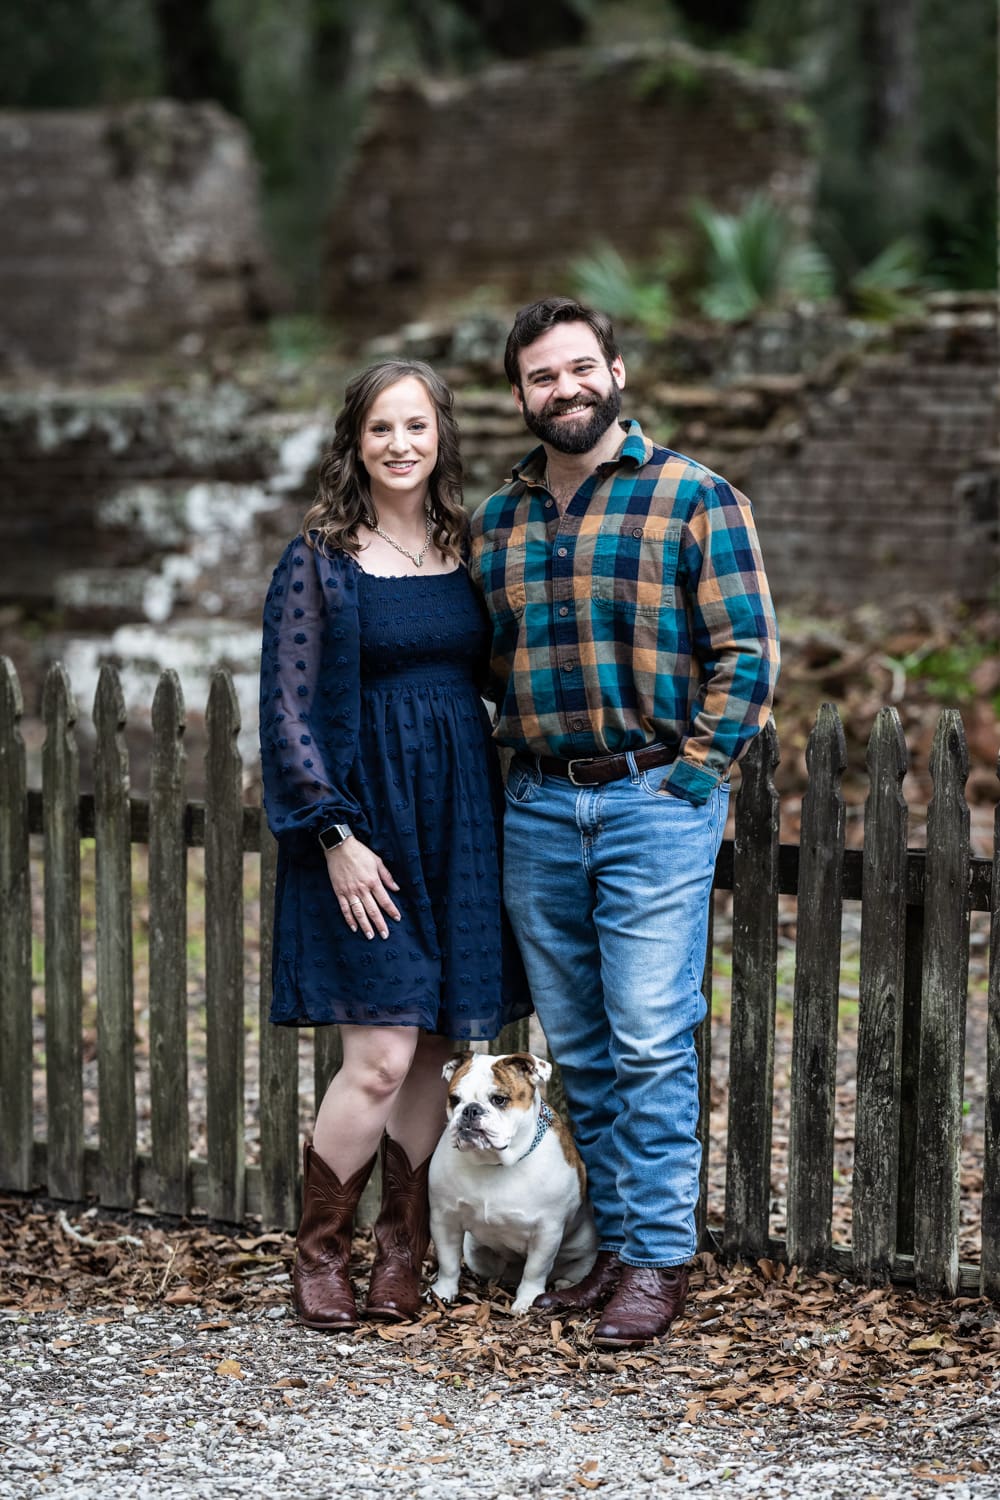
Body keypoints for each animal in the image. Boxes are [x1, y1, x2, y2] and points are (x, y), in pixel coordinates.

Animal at [428, 1056, 599, 1314]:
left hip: (585, 1257)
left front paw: (527, 1299)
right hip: (475, 1252)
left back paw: (563, 1284)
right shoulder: (444, 1218)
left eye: (499, 1100)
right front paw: (442, 1292)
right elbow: (448, 1262)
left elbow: (535, 1269)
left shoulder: (547, 1230)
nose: (470, 1109)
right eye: (455, 1099)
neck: (493, 1162)